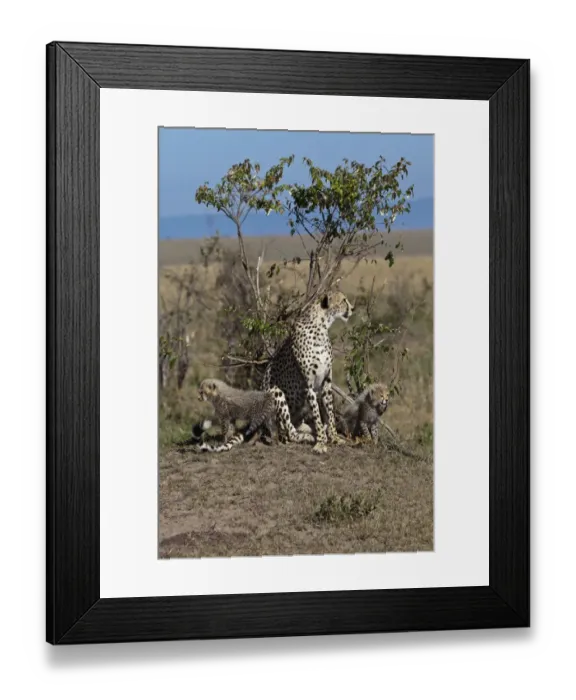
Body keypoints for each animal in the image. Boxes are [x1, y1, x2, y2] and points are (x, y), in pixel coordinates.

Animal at [261, 290, 354, 454]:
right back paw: (310, 437)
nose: (353, 308)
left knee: (298, 426)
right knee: (289, 432)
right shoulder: (308, 386)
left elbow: (329, 414)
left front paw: (335, 438)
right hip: (275, 392)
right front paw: (321, 443)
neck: (322, 327)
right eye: (344, 300)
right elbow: (317, 415)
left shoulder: (326, 382)